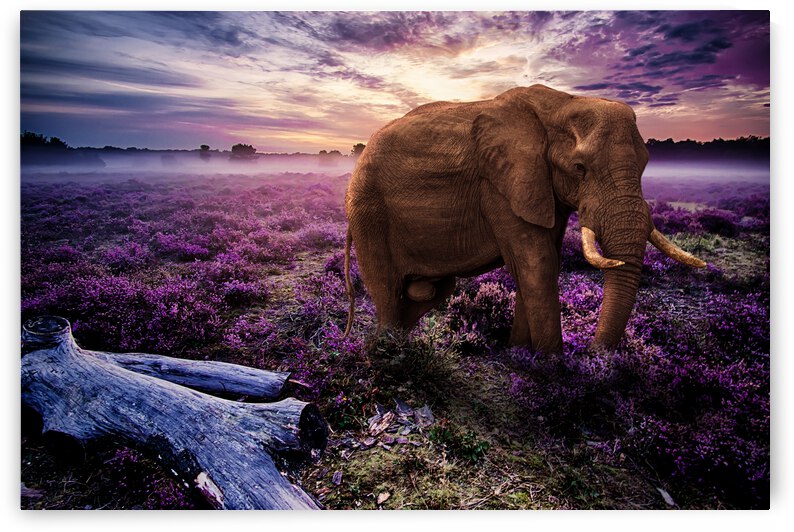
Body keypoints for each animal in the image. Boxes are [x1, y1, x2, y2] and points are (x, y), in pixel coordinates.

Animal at [342, 84, 705, 353]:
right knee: (388, 288)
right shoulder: (500, 186)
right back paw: (387, 352)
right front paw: (552, 367)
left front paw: (518, 355)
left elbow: (544, 262)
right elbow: (538, 262)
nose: (593, 356)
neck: (560, 105)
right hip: (369, 211)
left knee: (433, 291)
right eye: (579, 168)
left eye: (645, 164)